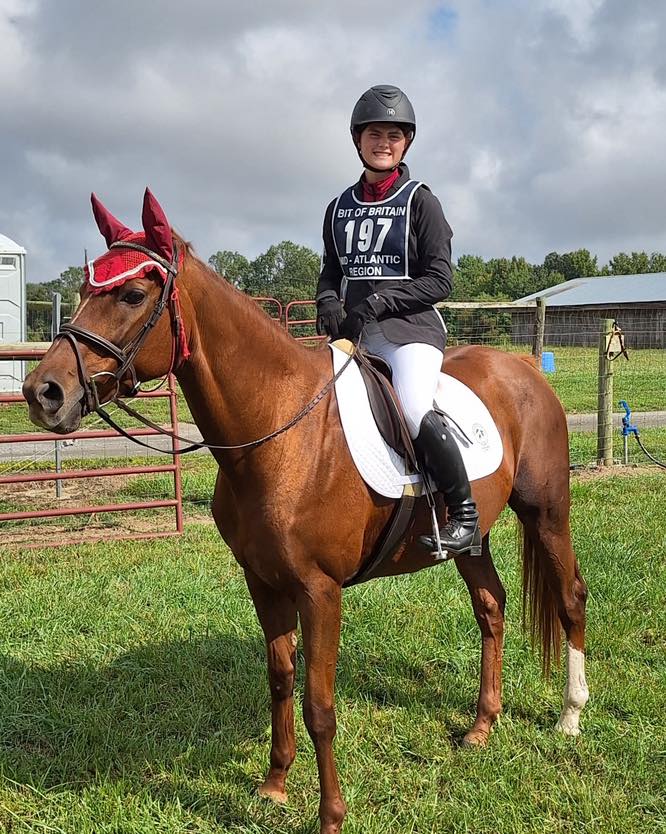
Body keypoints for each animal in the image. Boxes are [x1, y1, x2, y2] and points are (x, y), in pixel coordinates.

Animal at [22, 189, 589, 834]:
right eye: (85, 286)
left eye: (132, 295)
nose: (43, 392)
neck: (279, 428)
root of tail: (525, 370)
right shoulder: (265, 583)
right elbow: (280, 680)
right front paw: (273, 785)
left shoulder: (321, 591)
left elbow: (320, 704)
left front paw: (330, 814)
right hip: (471, 538)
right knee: (490, 607)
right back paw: (482, 725)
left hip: (546, 513)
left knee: (570, 597)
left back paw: (570, 715)